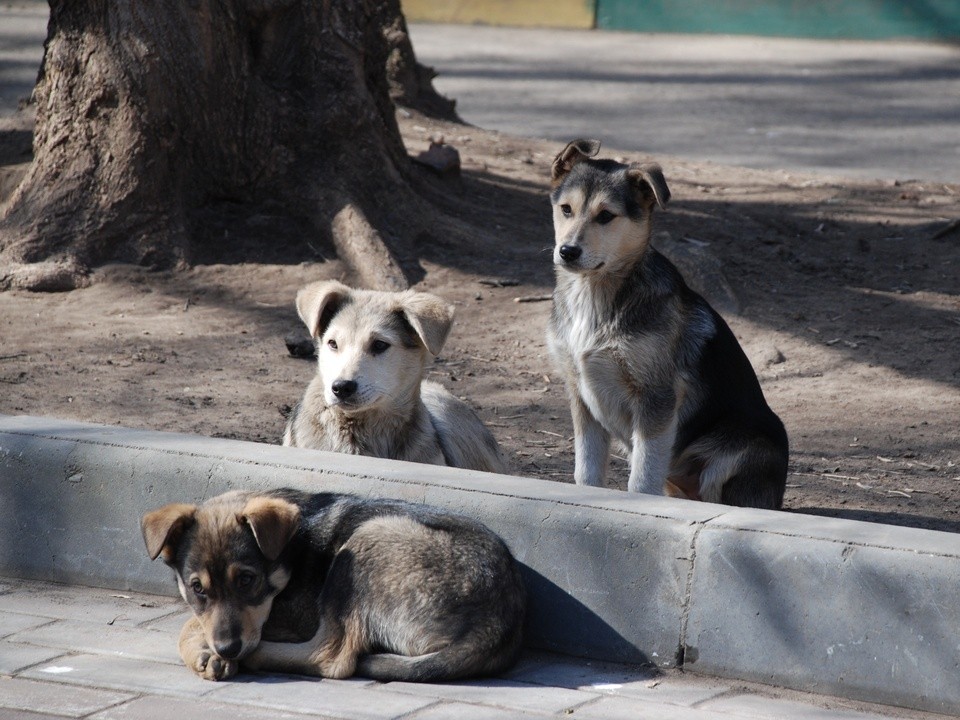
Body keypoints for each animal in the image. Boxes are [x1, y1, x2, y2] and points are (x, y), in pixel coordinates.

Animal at [144, 490, 524, 680]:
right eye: (197, 588)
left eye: (248, 580)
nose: (227, 649)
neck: (292, 550)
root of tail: (497, 622)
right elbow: (197, 620)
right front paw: (207, 652)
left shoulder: (293, 616)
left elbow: (190, 624)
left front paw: (205, 652)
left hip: (367, 540)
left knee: (333, 657)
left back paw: (256, 657)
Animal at [548, 141, 788, 510]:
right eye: (566, 209)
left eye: (606, 216)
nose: (567, 251)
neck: (595, 294)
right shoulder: (580, 396)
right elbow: (586, 472)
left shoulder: (656, 398)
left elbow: (643, 478)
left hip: (739, 452)